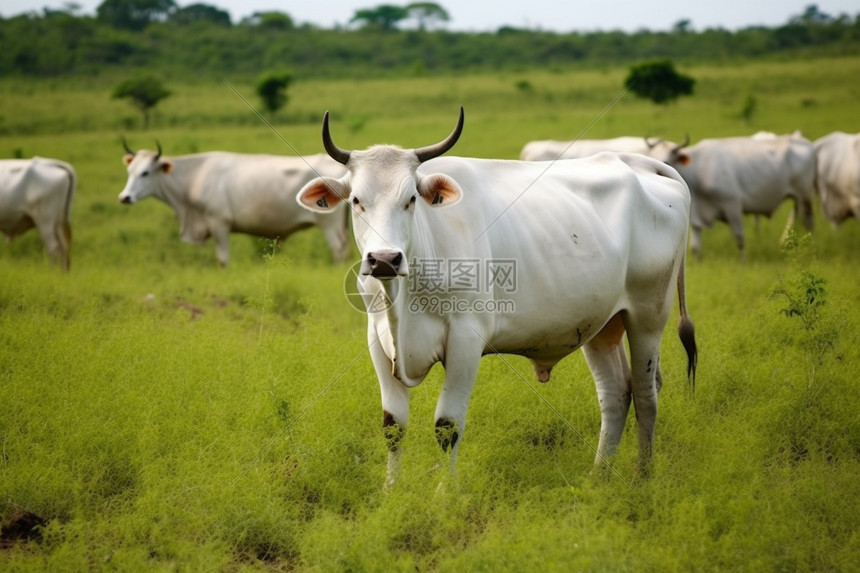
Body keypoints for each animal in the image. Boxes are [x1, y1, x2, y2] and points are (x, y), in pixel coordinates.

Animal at [119, 143, 352, 268]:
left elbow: (223, 260)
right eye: (130, 171)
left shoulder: (219, 223)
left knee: (338, 249)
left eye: (145, 173)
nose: (124, 197)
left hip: (329, 225)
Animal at [296, 108, 700, 488]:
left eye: (411, 199)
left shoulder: (466, 339)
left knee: (646, 394)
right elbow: (394, 426)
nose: (383, 259)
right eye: (356, 200)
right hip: (602, 324)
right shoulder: (378, 340)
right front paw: (390, 492)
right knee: (616, 393)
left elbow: (448, 425)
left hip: (649, 314)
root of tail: (639, 162)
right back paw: (599, 475)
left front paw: (445, 494)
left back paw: (643, 476)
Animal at [660, 135, 816, 256]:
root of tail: (805, 143)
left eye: (668, 161)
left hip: (804, 195)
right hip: (797, 197)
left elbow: (739, 239)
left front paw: (743, 263)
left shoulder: (732, 205)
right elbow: (695, 248)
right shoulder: (696, 216)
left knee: (808, 220)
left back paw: (809, 247)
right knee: (796, 216)